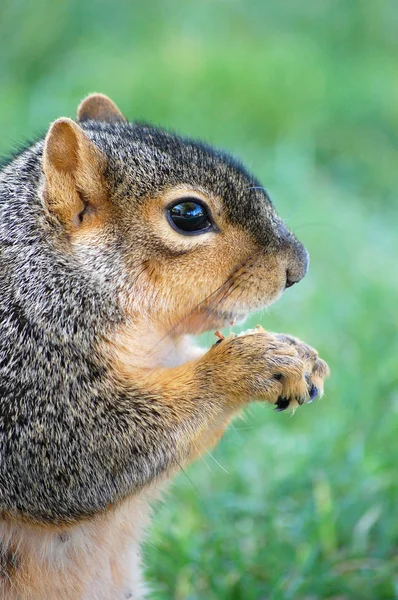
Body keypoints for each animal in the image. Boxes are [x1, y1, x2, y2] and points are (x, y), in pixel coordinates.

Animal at [0, 91, 330, 596]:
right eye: (188, 215)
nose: (299, 267)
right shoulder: (27, 384)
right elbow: (76, 456)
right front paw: (248, 363)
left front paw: (300, 354)